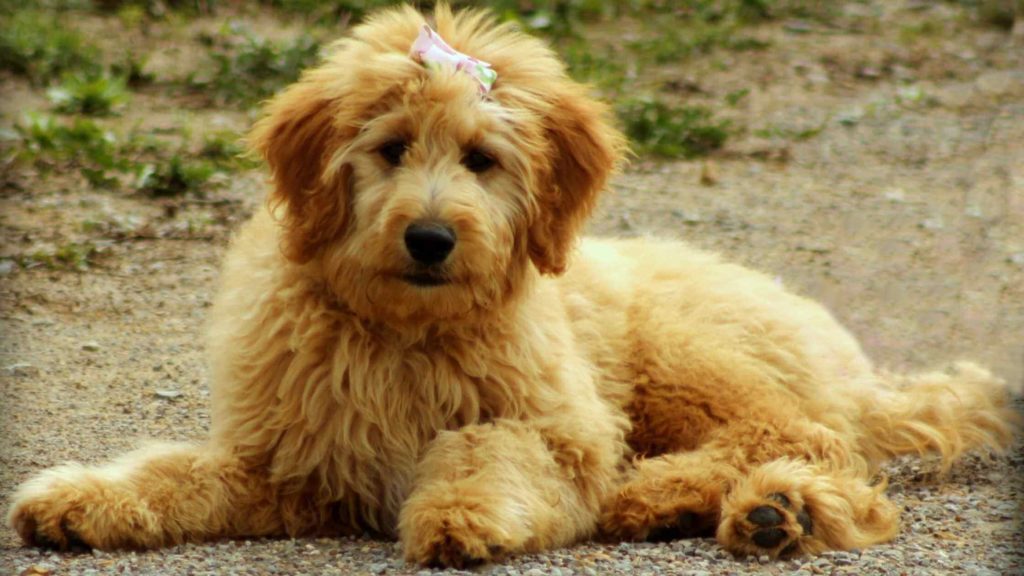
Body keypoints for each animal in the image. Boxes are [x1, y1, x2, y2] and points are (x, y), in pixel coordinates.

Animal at [6, 3, 1015, 569]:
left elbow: (487, 445)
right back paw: (731, 508)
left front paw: (462, 512)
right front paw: (82, 499)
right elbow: (178, 471)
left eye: (482, 159)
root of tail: (853, 366)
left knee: (803, 439)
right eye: (391, 149)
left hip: (684, 355)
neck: (405, 332)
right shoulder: (294, 464)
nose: (429, 236)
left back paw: (731, 504)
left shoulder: (560, 427)